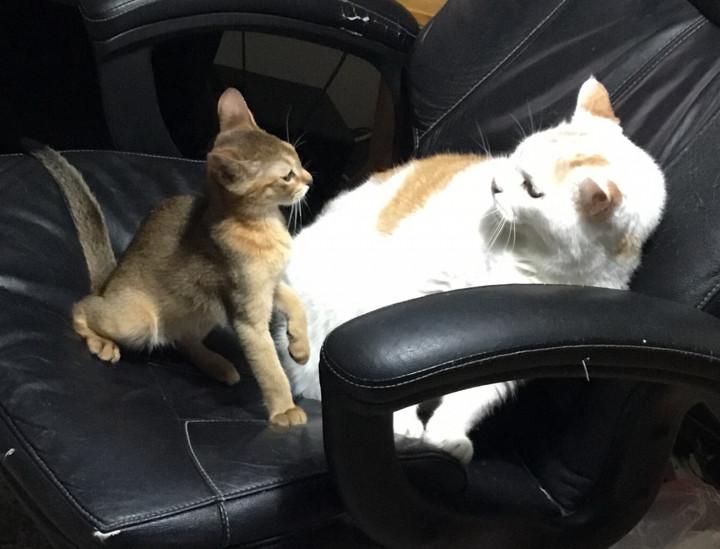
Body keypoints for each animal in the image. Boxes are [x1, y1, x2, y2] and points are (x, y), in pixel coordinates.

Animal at [27, 88, 313, 427]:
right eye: (287, 176)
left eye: (297, 158)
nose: (310, 179)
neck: (263, 225)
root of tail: (108, 283)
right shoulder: (248, 315)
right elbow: (270, 369)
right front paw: (284, 410)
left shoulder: (269, 285)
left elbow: (296, 303)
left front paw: (300, 346)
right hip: (138, 321)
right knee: (81, 307)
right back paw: (102, 343)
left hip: (202, 311)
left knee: (184, 340)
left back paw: (217, 365)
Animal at [275, 77, 667, 459]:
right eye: (516, 156)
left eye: (531, 189)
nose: (495, 185)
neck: (525, 252)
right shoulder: (417, 288)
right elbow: (398, 355)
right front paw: (402, 422)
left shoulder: (501, 337)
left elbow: (473, 396)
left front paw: (446, 435)